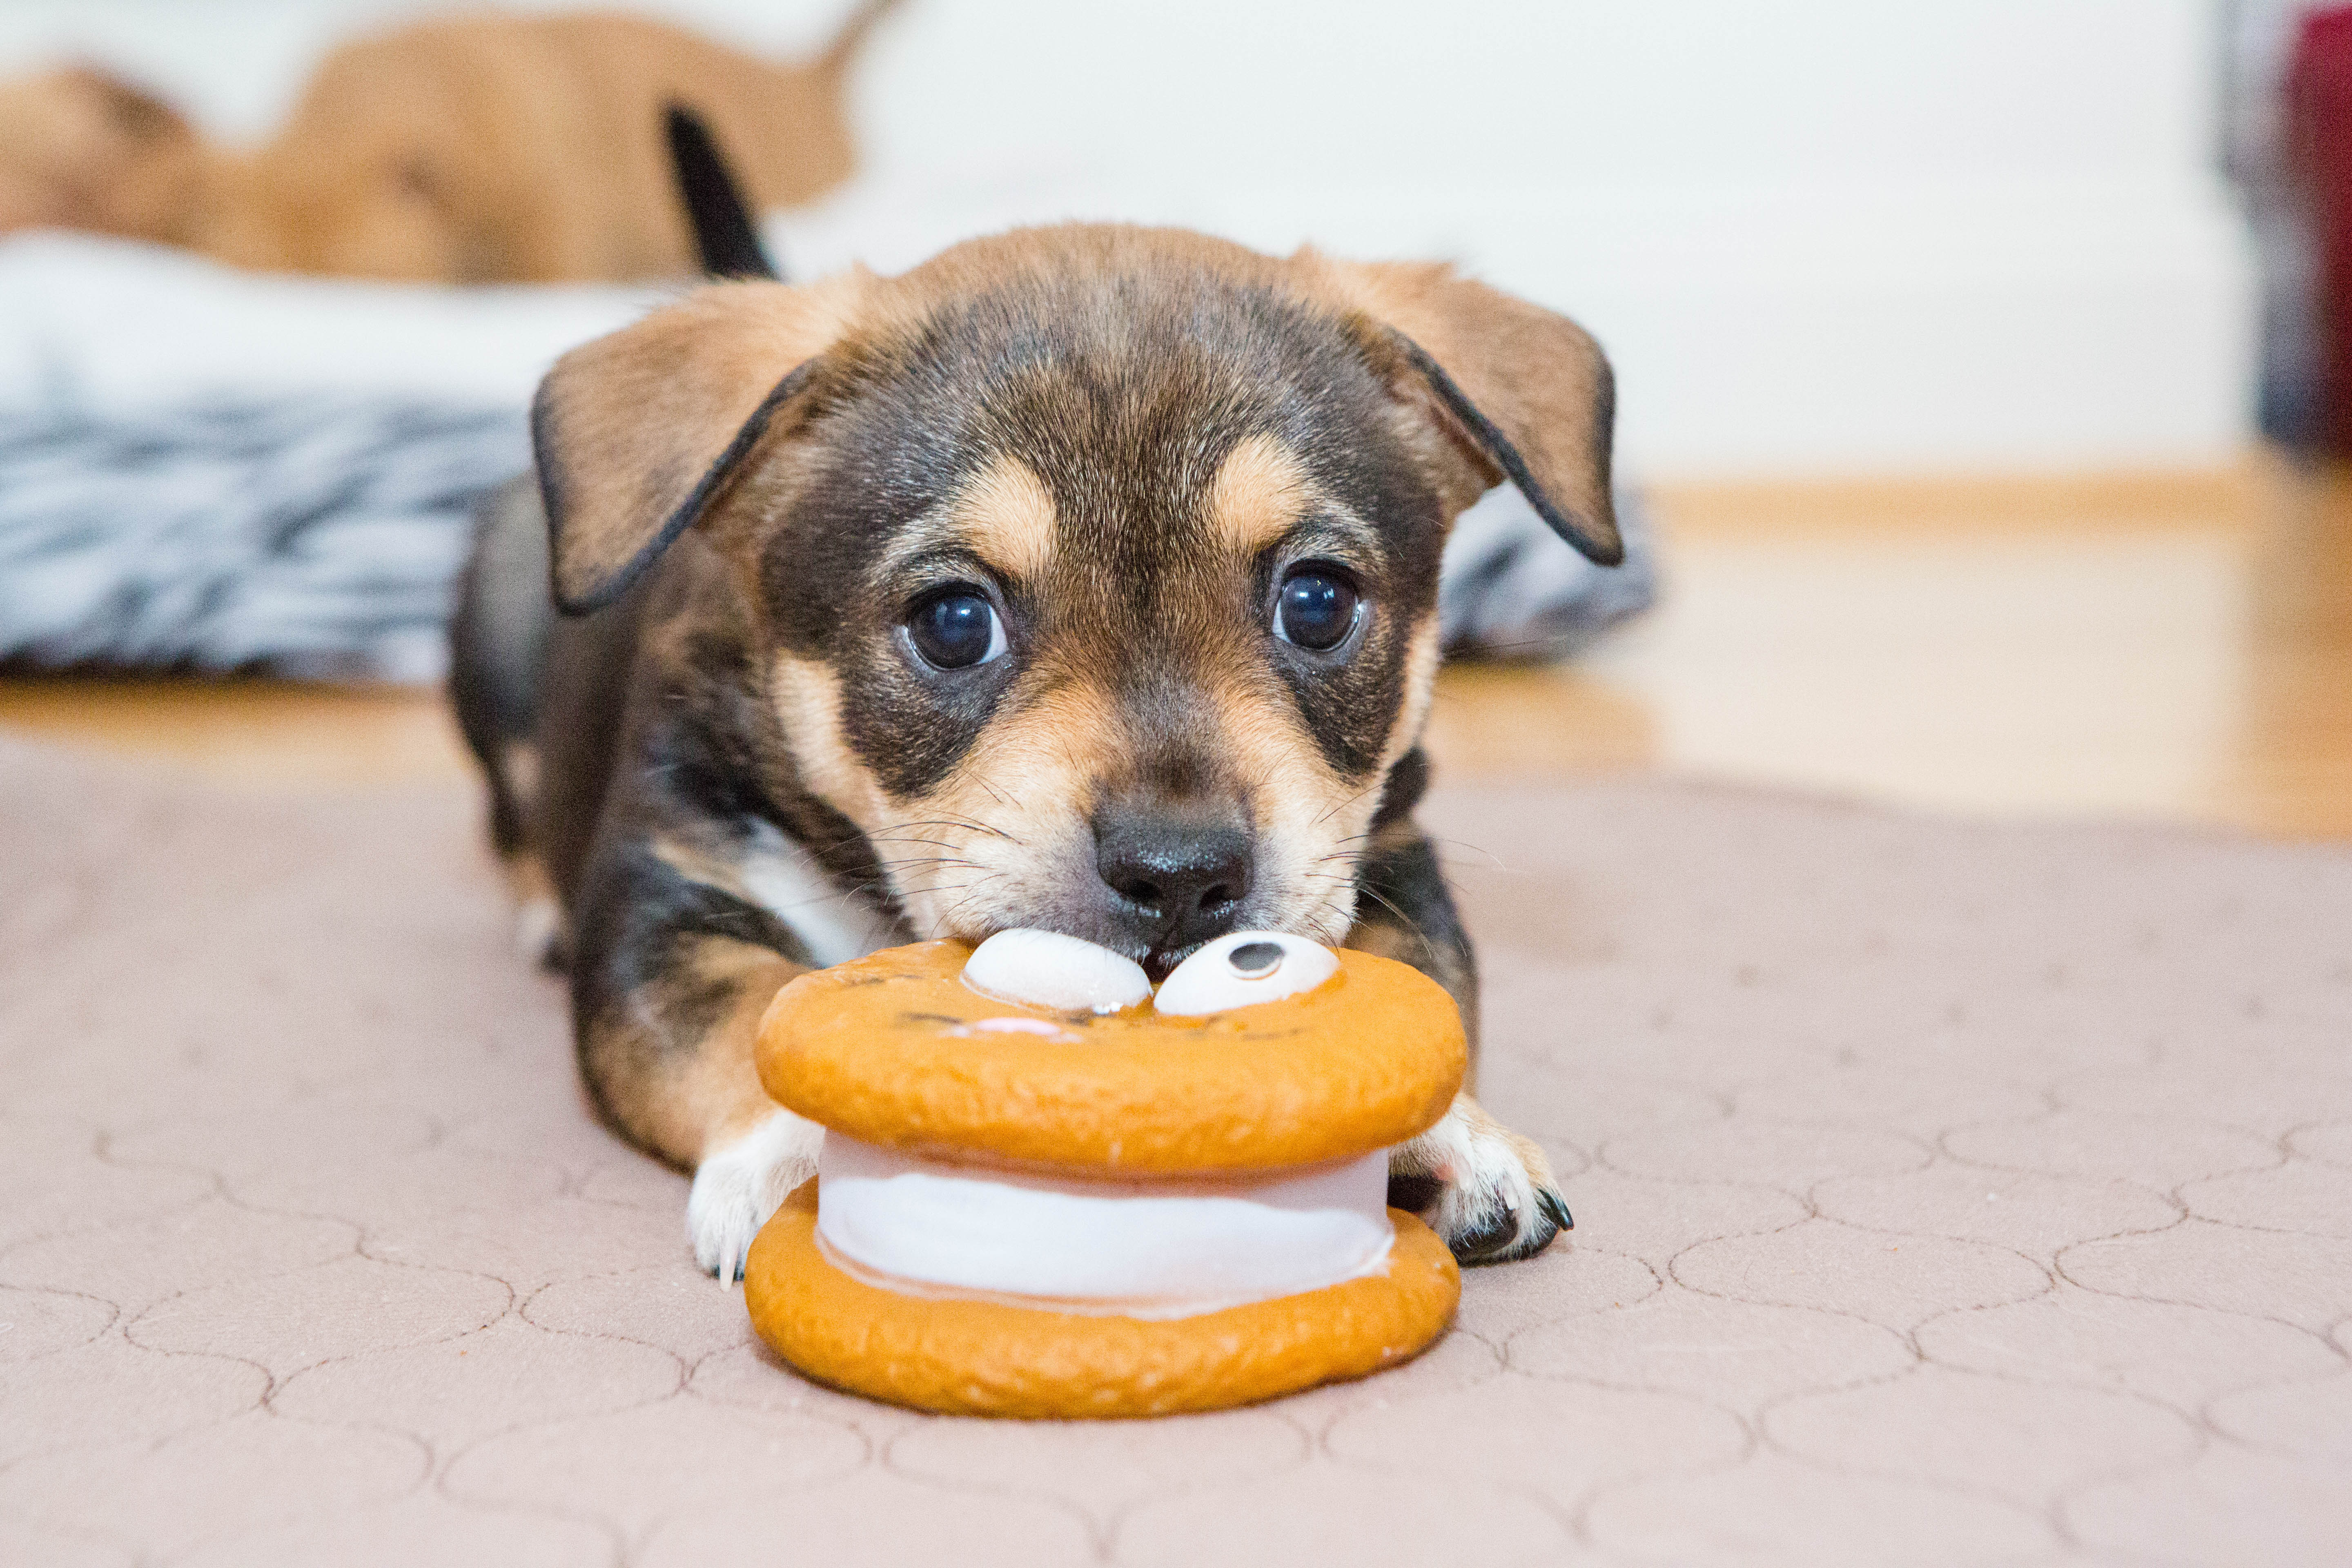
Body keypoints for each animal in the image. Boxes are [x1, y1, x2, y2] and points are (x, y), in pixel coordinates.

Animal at [451, 221, 1618, 1278]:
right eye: (953, 621)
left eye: (1319, 603)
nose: (1180, 876)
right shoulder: (666, 904)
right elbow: (748, 1010)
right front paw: (805, 1151)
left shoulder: (1387, 862)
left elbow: (1416, 998)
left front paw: (1443, 1139)